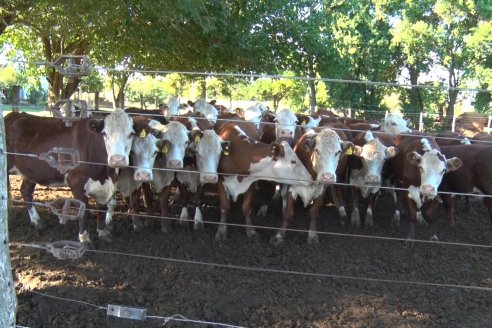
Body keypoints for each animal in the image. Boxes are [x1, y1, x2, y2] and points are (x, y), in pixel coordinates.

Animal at [6, 109, 136, 242]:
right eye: (105, 133)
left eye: (131, 134)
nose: (117, 159)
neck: (105, 173)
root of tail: (13, 114)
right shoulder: (75, 182)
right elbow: (84, 210)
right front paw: (84, 238)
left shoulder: (107, 184)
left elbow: (103, 207)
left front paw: (103, 232)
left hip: (32, 172)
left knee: (25, 191)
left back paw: (37, 222)